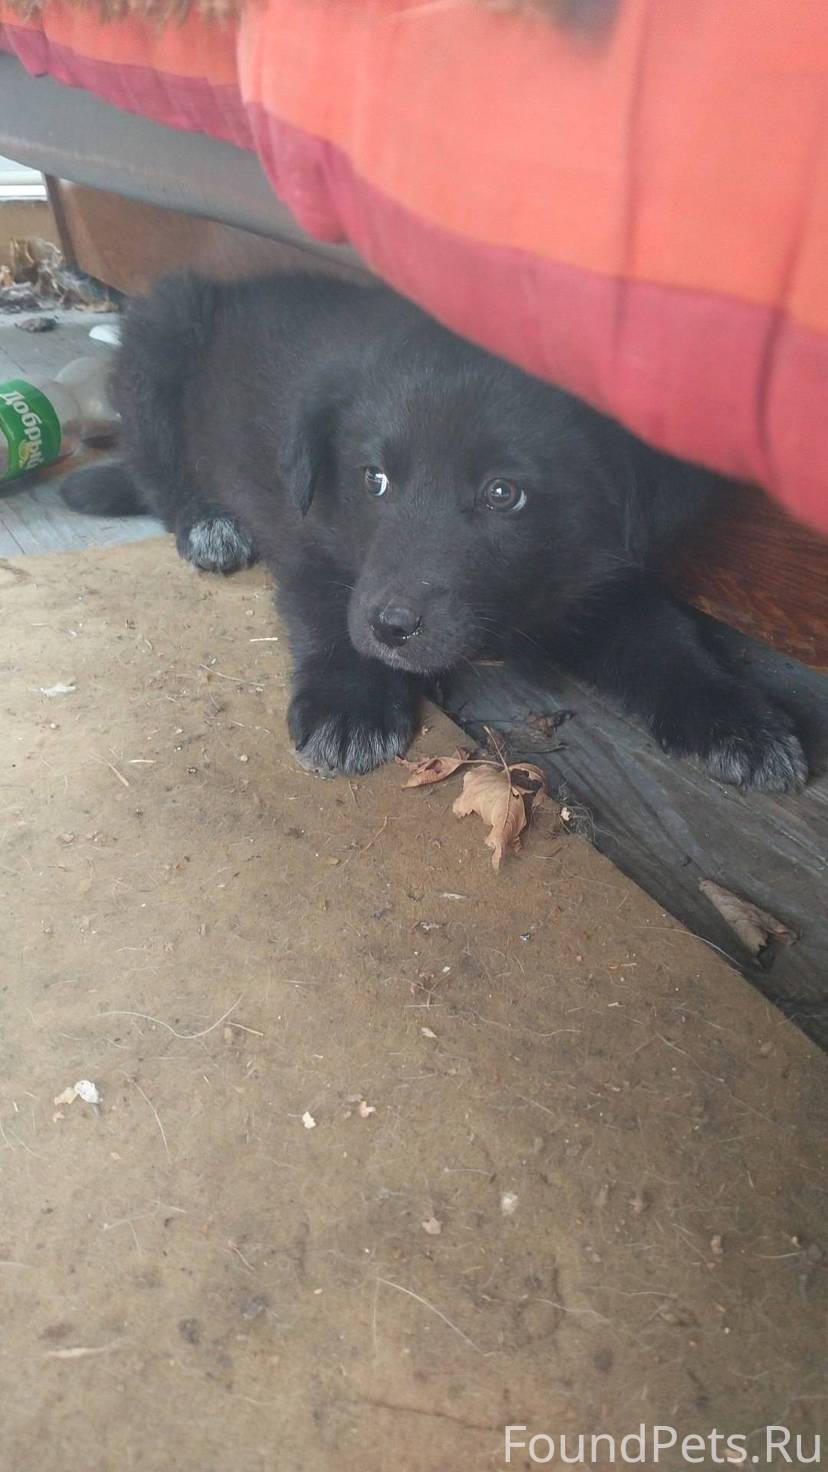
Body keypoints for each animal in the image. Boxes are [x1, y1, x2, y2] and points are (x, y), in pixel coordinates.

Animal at [61, 271, 807, 791]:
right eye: (374, 480)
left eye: (504, 494)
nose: (392, 627)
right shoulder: (306, 535)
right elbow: (329, 607)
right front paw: (350, 700)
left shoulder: (596, 569)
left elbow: (665, 636)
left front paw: (738, 720)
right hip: (160, 335)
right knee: (156, 471)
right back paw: (208, 525)